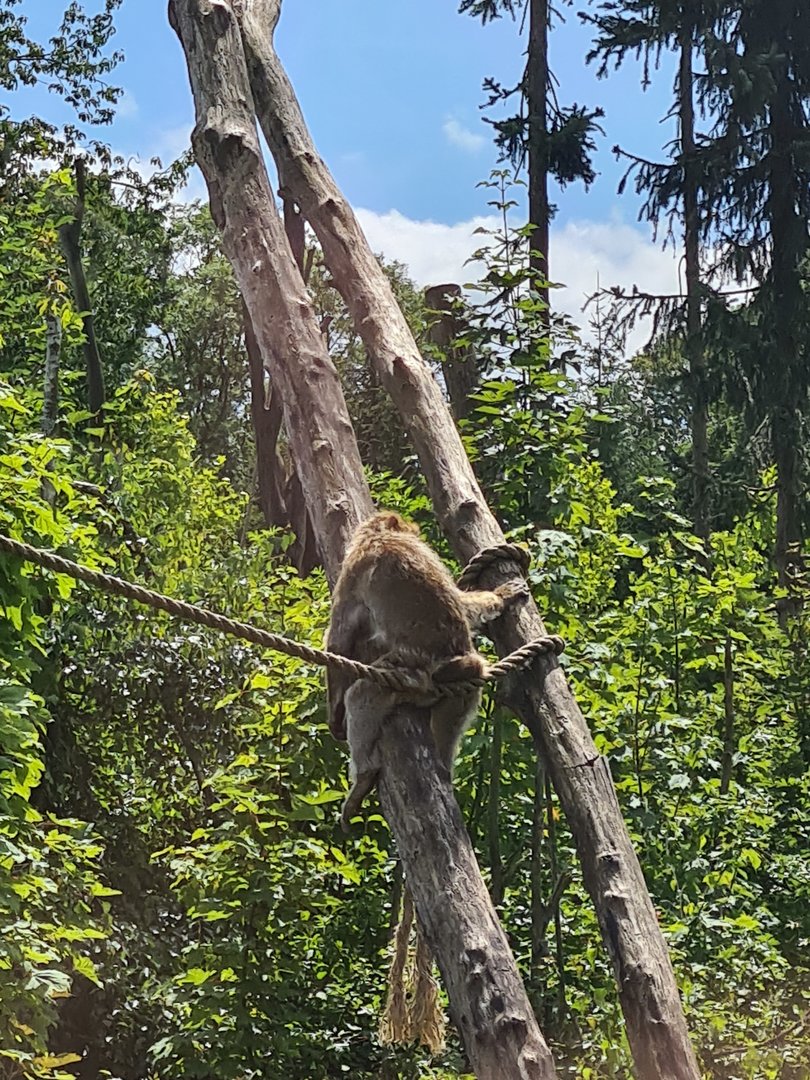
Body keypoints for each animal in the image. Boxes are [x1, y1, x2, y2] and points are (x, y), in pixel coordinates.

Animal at [325, 510, 527, 830]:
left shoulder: (355, 567)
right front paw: (502, 595)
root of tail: (453, 665)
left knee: (363, 693)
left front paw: (333, 716)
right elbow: (463, 604)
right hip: (454, 686)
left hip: (412, 675)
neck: (382, 537)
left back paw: (364, 775)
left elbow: (338, 641)